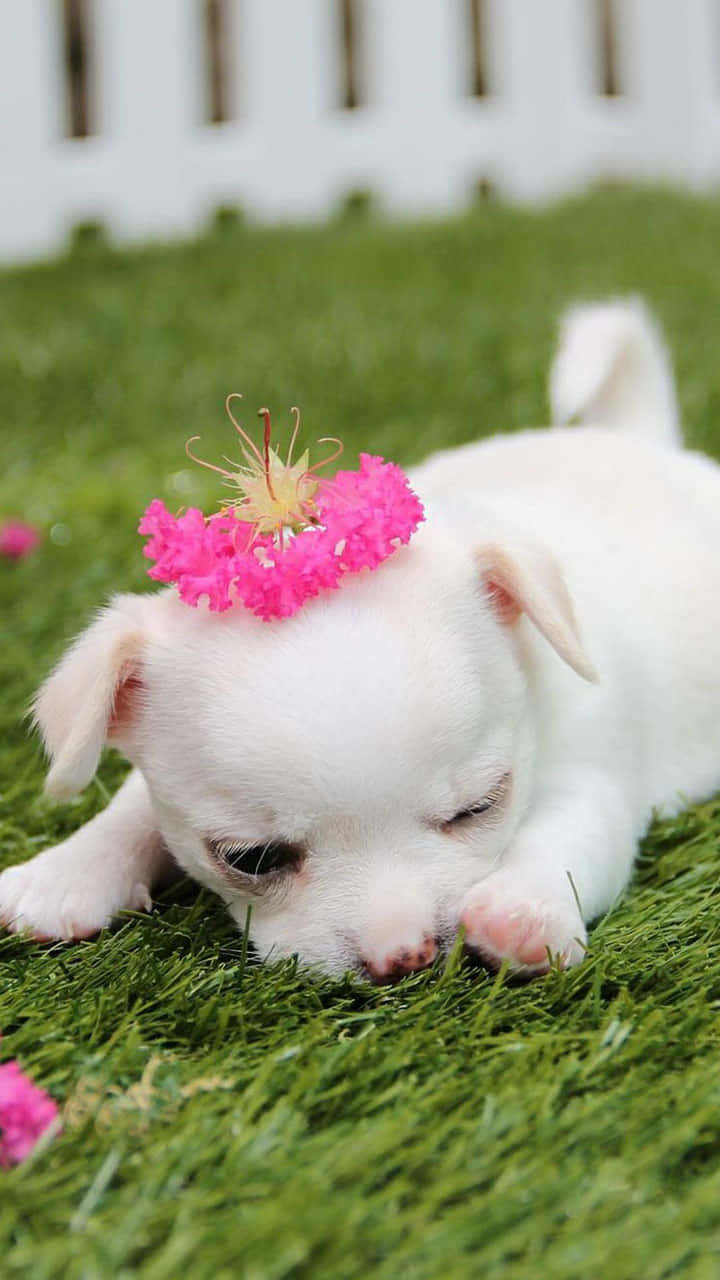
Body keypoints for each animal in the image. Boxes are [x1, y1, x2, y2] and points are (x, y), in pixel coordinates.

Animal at [2, 299, 712, 977]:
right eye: (251, 859)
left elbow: (567, 831)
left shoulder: (594, 770)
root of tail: (629, 438)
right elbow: (134, 806)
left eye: (477, 809)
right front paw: (65, 872)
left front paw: (522, 910)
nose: (405, 957)